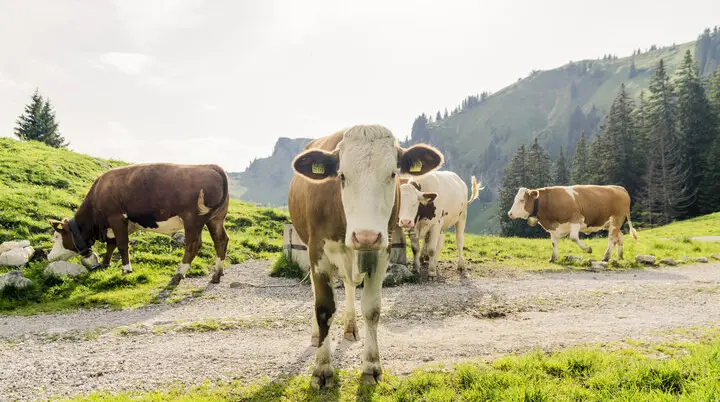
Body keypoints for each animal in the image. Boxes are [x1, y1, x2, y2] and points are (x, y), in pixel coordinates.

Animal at [47, 163, 230, 286]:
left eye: (56, 236)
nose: (49, 256)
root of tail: (211, 166)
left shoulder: (117, 217)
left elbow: (122, 245)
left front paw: (126, 269)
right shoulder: (115, 225)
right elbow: (111, 244)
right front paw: (105, 264)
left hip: (193, 219)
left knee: (193, 245)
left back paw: (178, 275)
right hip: (215, 219)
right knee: (221, 240)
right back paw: (217, 275)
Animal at [288, 124, 443, 388]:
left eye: (392, 174)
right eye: (341, 176)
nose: (366, 236)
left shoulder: (382, 250)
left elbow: (372, 309)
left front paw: (371, 366)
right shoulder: (317, 251)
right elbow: (324, 308)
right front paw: (322, 368)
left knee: (350, 285)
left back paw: (350, 327)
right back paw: (315, 334)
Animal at [506, 185, 638, 263]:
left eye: (521, 200)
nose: (510, 213)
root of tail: (620, 188)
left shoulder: (576, 219)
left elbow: (573, 237)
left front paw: (588, 249)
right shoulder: (554, 228)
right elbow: (554, 243)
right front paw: (553, 258)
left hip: (616, 220)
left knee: (611, 238)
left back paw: (606, 257)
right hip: (611, 224)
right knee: (619, 237)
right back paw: (620, 256)